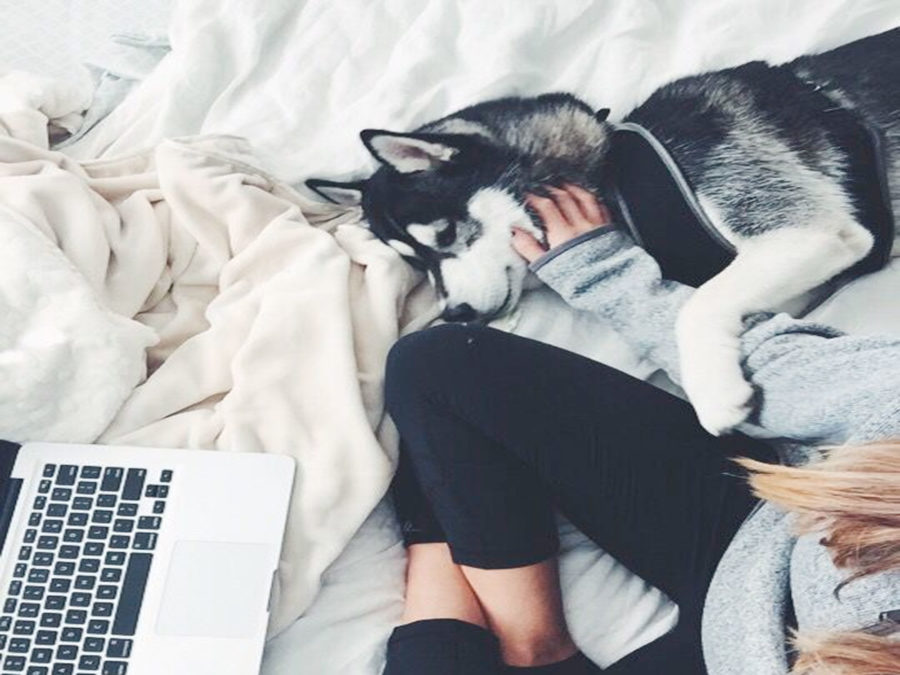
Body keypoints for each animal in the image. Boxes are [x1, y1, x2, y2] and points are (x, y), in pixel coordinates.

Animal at [307, 27, 899, 435]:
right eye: (414, 262)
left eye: (446, 235)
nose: (455, 315)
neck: (615, 175)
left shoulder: (815, 232)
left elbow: (698, 304)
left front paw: (713, 392)